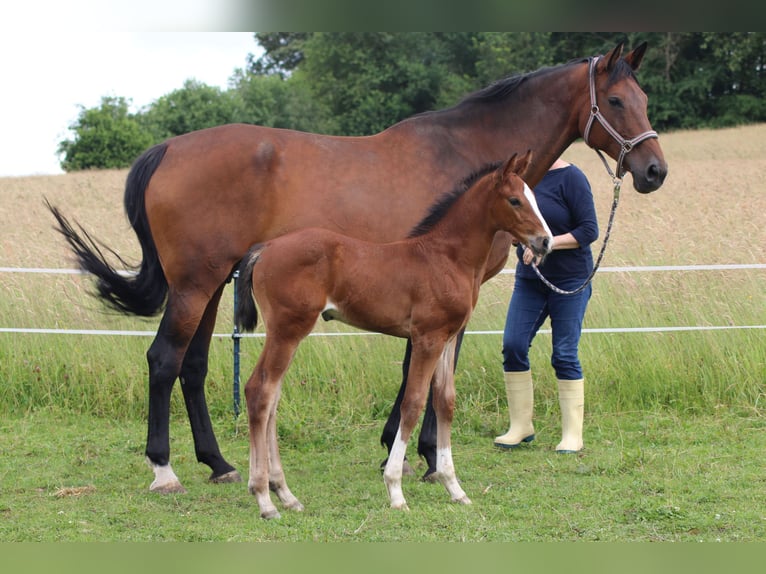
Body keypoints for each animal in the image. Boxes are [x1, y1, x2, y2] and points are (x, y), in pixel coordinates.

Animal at [49, 41, 664, 496]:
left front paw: (406, 452)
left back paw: (218, 463)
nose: (654, 170)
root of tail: (169, 149)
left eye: (644, 96)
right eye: (615, 100)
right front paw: (420, 456)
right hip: (195, 285)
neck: (465, 155)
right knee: (164, 361)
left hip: (210, 284)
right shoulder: (440, 305)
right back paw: (165, 470)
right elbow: (422, 376)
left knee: (193, 367)